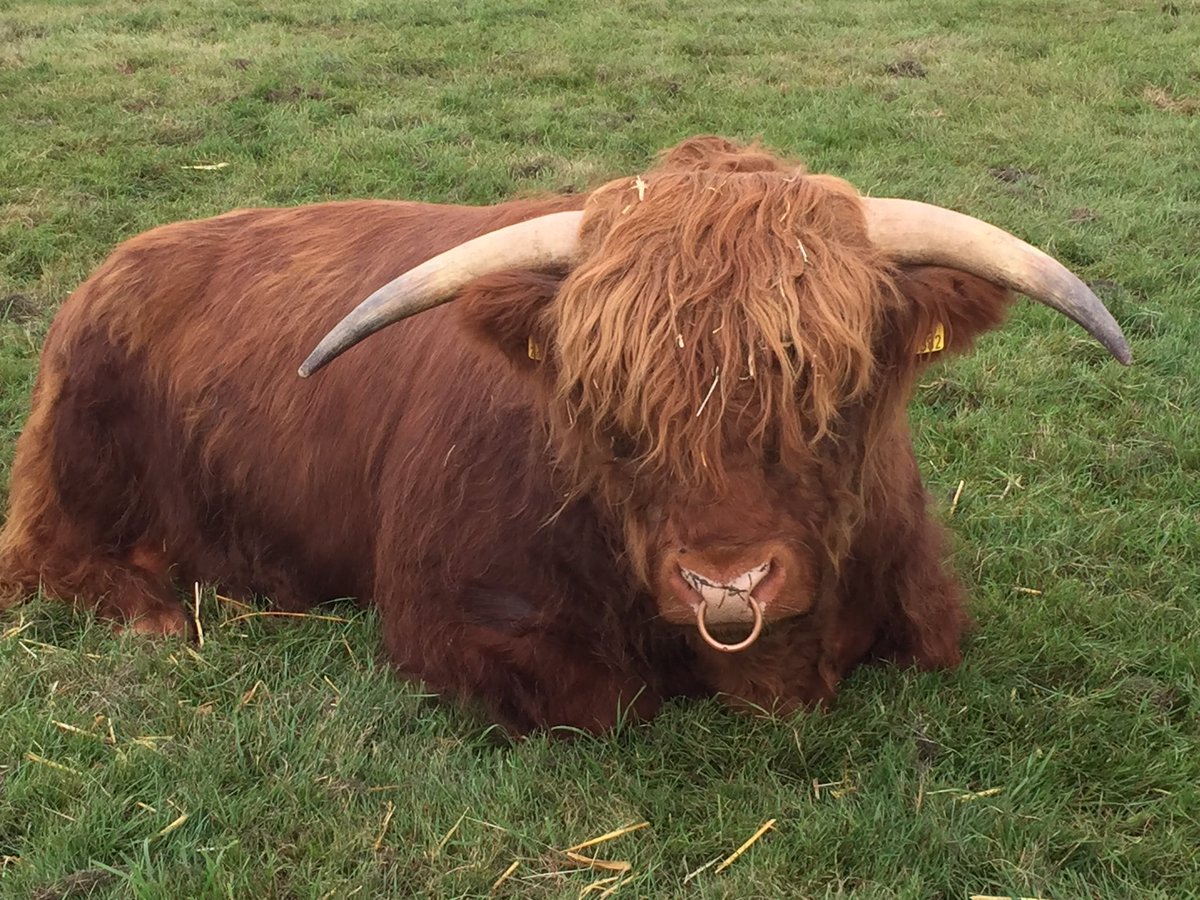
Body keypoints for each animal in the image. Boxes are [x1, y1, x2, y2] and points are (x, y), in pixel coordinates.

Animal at [0, 137, 1129, 734]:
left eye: (828, 392)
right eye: (610, 405)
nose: (728, 583)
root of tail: (117, 266)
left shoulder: (927, 602)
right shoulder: (451, 625)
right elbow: (610, 699)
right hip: (74, 482)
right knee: (48, 560)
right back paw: (159, 616)